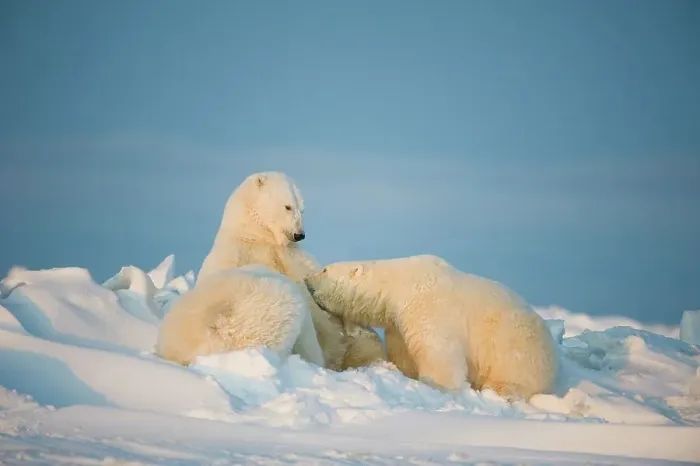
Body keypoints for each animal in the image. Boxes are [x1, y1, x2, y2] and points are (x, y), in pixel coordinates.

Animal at [196, 171, 385, 371]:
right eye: (288, 206)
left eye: (301, 209)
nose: (299, 234)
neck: (258, 237)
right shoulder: (238, 256)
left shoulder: (295, 258)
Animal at [303, 254, 559, 401]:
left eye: (324, 270)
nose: (307, 280)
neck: (398, 283)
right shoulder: (397, 322)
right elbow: (403, 353)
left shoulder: (427, 305)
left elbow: (438, 352)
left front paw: (437, 385)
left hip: (517, 347)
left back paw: (500, 390)